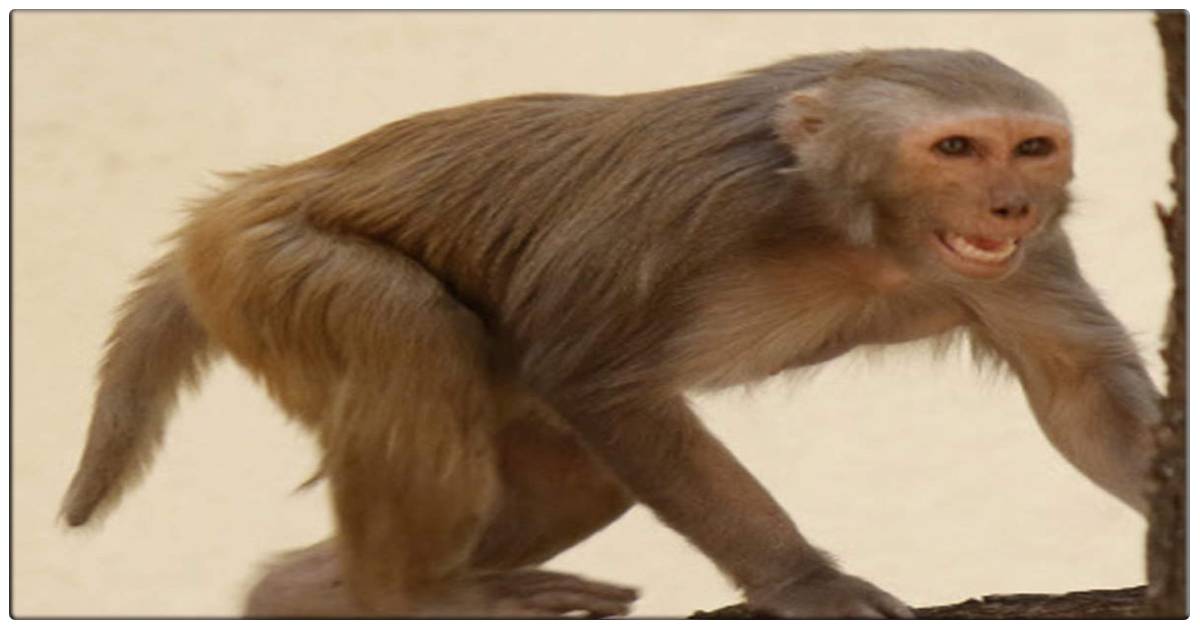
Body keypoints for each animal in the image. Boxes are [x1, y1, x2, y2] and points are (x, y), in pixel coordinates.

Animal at [60, 48, 1160, 618]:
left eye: (1031, 147)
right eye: (957, 147)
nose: (1012, 203)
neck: (855, 226)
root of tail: (236, 200)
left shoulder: (1025, 255)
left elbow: (1076, 389)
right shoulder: (689, 210)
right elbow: (600, 381)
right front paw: (805, 581)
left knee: (571, 469)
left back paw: (304, 593)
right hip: (270, 263)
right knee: (407, 325)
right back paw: (409, 596)